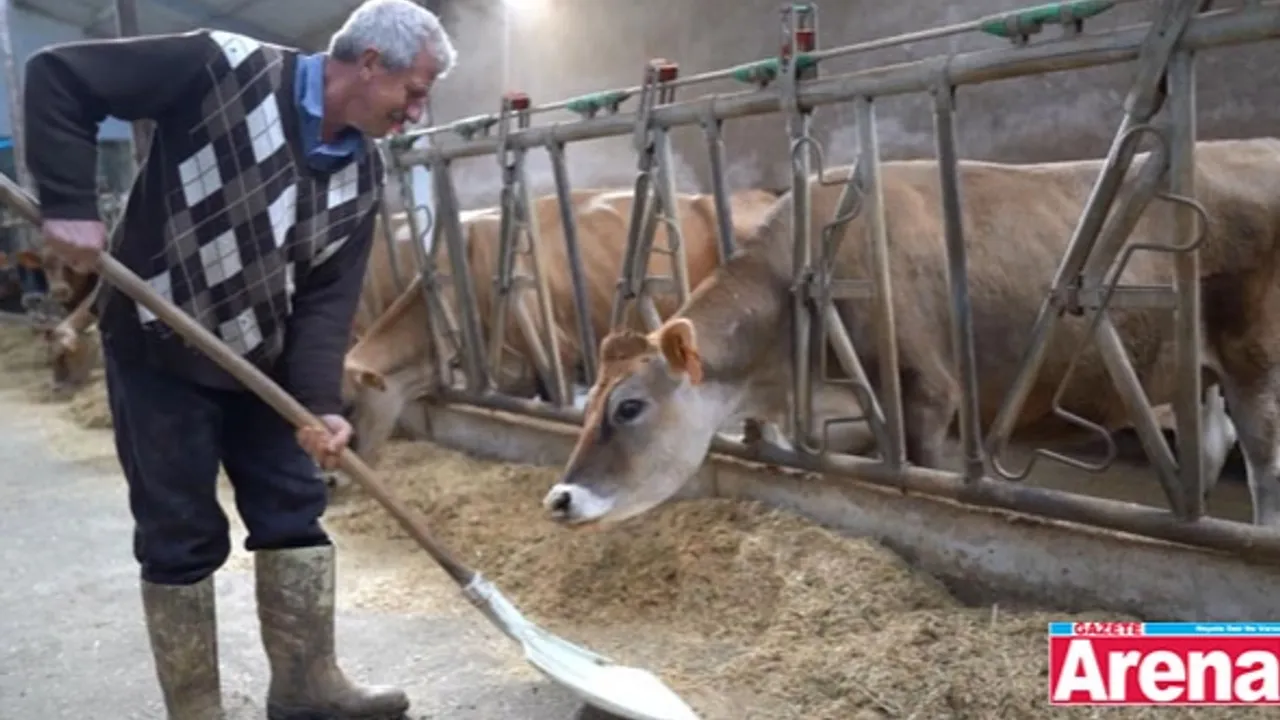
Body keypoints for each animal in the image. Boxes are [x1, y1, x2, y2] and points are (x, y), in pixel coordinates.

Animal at [542, 138, 1276, 528]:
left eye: (629, 407)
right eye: (589, 399)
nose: (559, 497)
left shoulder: (927, 396)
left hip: (1256, 362)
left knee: (1262, 463)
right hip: (1195, 372)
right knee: (1212, 443)